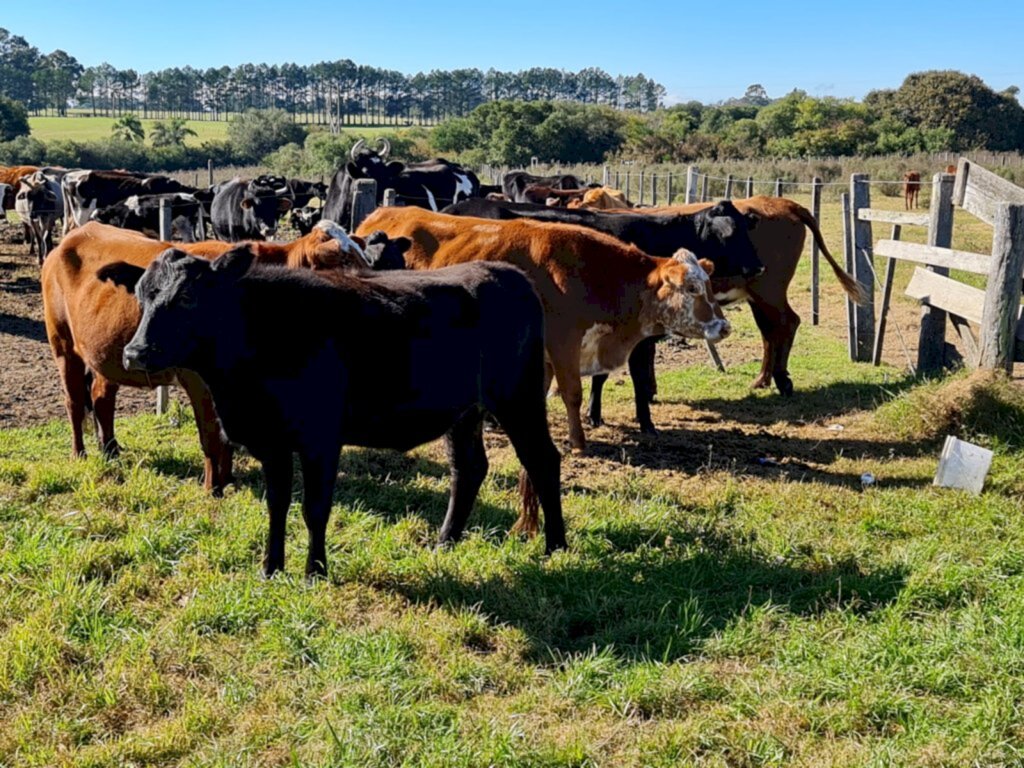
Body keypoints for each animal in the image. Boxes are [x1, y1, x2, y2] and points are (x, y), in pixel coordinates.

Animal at [44, 219, 374, 493]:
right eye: (341, 260)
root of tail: (70, 237)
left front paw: (227, 479)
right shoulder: (198, 380)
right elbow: (210, 434)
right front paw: (212, 488)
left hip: (107, 353)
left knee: (101, 397)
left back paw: (111, 450)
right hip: (63, 345)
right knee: (75, 401)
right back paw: (80, 453)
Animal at [103, 246, 569, 577]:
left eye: (186, 297)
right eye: (141, 296)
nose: (136, 352)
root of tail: (506, 272)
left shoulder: (320, 439)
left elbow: (314, 508)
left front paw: (315, 571)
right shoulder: (270, 441)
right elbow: (277, 504)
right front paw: (271, 568)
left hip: (519, 398)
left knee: (543, 460)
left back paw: (556, 547)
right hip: (464, 412)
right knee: (468, 469)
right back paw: (444, 541)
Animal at [356, 207, 733, 454]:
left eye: (709, 285)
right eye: (691, 288)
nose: (724, 326)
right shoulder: (563, 342)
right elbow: (572, 392)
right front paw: (578, 443)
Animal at [444, 196, 765, 434]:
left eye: (746, 230)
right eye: (728, 233)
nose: (759, 266)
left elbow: (603, 375)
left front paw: (597, 413)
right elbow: (634, 374)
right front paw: (643, 421)